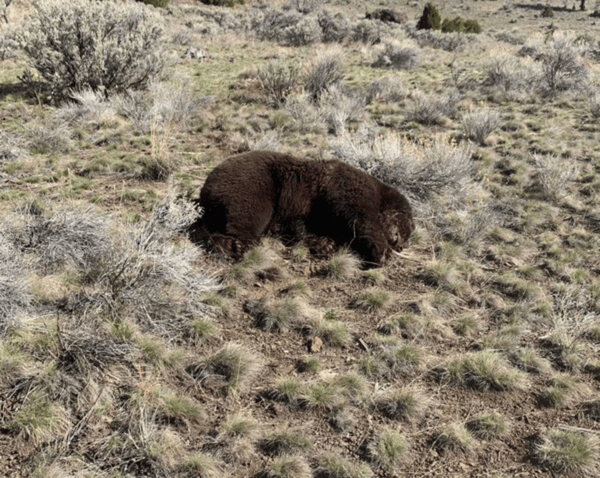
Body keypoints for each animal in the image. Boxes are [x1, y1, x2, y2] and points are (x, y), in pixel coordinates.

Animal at [190, 151, 414, 268]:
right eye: (405, 231)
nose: (400, 245)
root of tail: (205, 187)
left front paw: (325, 245)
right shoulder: (347, 189)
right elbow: (360, 218)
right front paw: (381, 252)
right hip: (255, 183)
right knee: (247, 214)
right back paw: (234, 246)